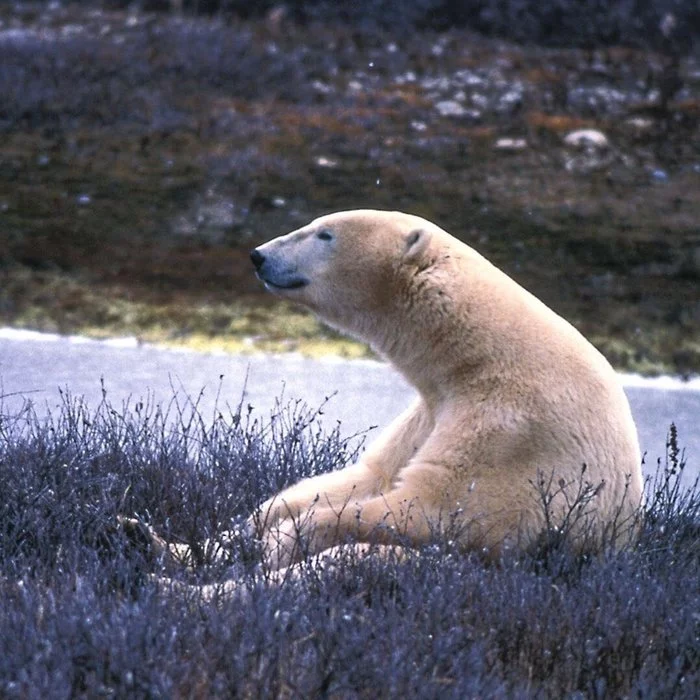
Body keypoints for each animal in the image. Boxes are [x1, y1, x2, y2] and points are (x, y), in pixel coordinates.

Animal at [247, 209, 644, 568]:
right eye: (315, 225)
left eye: (325, 234)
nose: (259, 255)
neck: (480, 355)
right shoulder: (429, 411)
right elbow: (371, 475)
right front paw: (252, 524)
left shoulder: (511, 430)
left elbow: (438, 506)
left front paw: (284, 540)